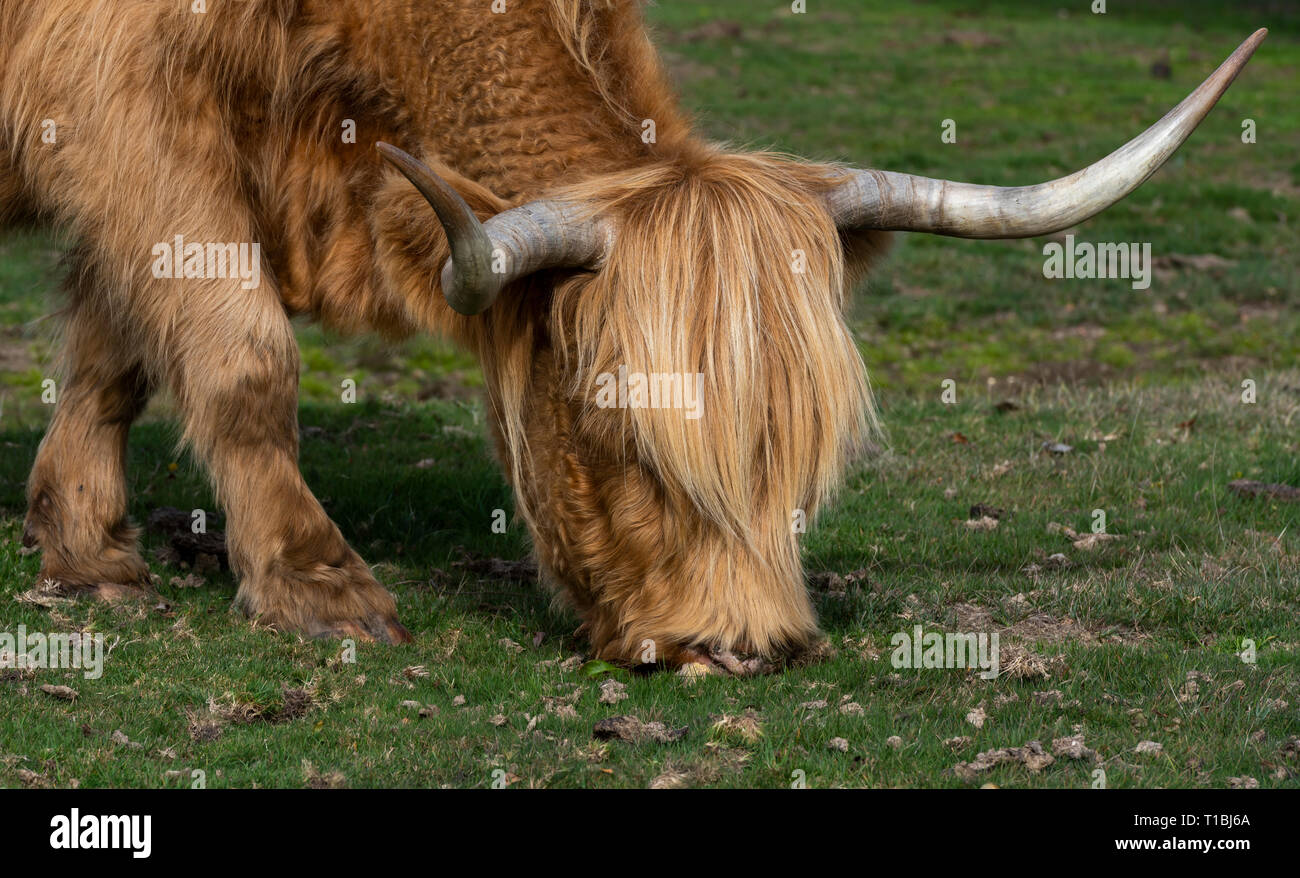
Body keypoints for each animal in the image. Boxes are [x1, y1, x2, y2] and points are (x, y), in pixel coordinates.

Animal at [0, 1, 1264, 673]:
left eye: (808, 442)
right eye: (615, 423)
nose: (743, 643)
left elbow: (116, 349)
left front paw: (85, 546)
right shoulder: (126, 102)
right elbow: (242, 354)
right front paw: (319, 587)